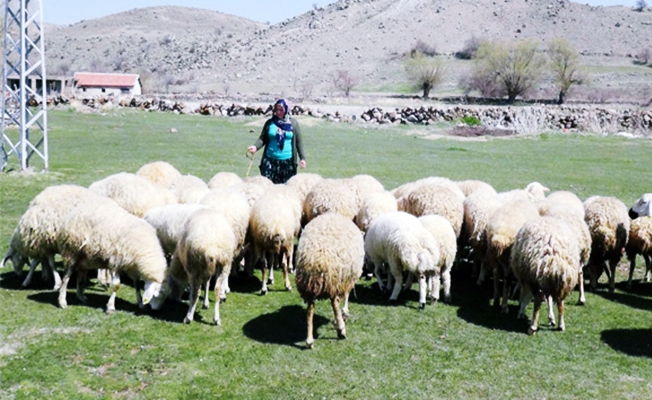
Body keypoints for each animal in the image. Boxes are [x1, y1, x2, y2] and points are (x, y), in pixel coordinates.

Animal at [296, 212, 366, 346]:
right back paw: (341, 329)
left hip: (309, 285)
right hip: (333, 279)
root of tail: (317, 261)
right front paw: (345, 312)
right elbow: (347, 295)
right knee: (334, 302)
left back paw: (309, 340)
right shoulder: (346, 278)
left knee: (310, 308)